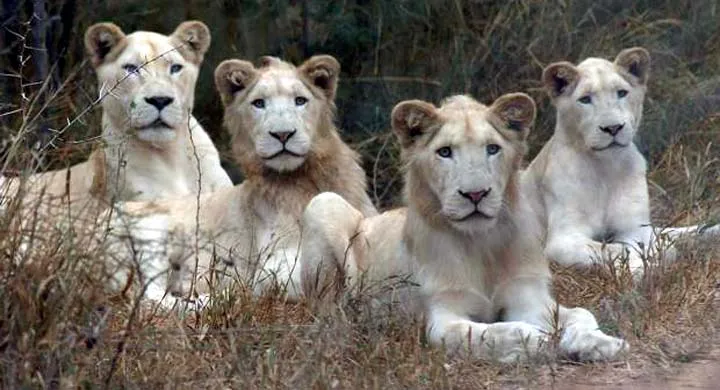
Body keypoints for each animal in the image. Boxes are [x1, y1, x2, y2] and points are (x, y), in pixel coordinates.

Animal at [298, 93, 624, 362]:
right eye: (445, 152)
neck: (481, 244)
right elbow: (493, 331)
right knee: (327, 311)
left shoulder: (529, 297)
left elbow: (581, 313)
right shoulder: (442, 318)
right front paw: (538, 341)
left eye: (492, 149)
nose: (476, 194)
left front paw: (598, 342)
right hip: (323, 202)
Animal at [520, 47, 716, 276]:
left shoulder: (635, 227)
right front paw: (641, 270)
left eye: (622, 93)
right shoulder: (562, 240)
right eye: (585, 99)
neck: (606, 168)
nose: (613, 128)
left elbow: (641, 245)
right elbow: (614, 249)